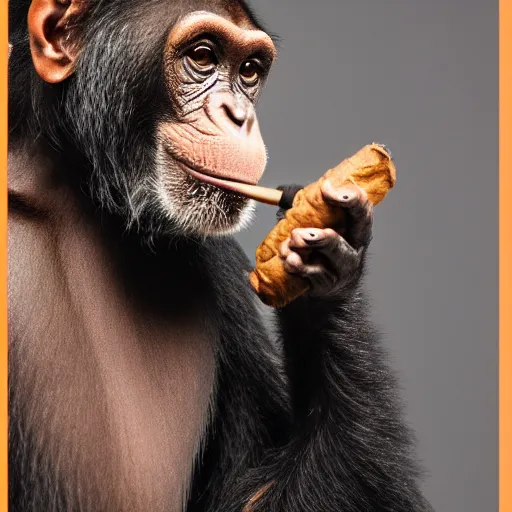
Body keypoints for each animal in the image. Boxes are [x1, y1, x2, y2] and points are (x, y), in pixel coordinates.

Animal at [8, 1, 432, 512]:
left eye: (248, 70)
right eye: (203, 57)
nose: (240, 114)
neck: (70, 187)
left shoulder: (215, 260)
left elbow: (256, 496)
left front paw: (329, 266)